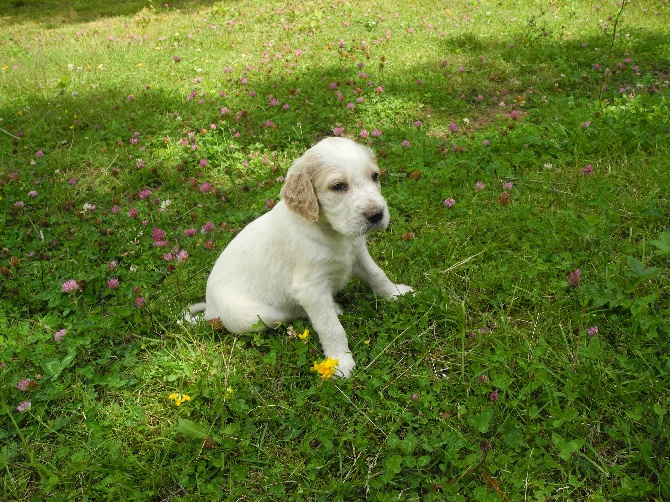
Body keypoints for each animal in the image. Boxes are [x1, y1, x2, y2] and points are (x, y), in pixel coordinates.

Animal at [190, 137, 414, 376]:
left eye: (374, 176)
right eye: (338, 186)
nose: (377, 215)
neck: (331, 232)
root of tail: (210, 311)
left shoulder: (358, 253)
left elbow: (377, 274)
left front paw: (396, 293)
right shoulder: (311, 288)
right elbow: (330, 327)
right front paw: (339, 362)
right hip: (256, 316)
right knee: (290, 315)